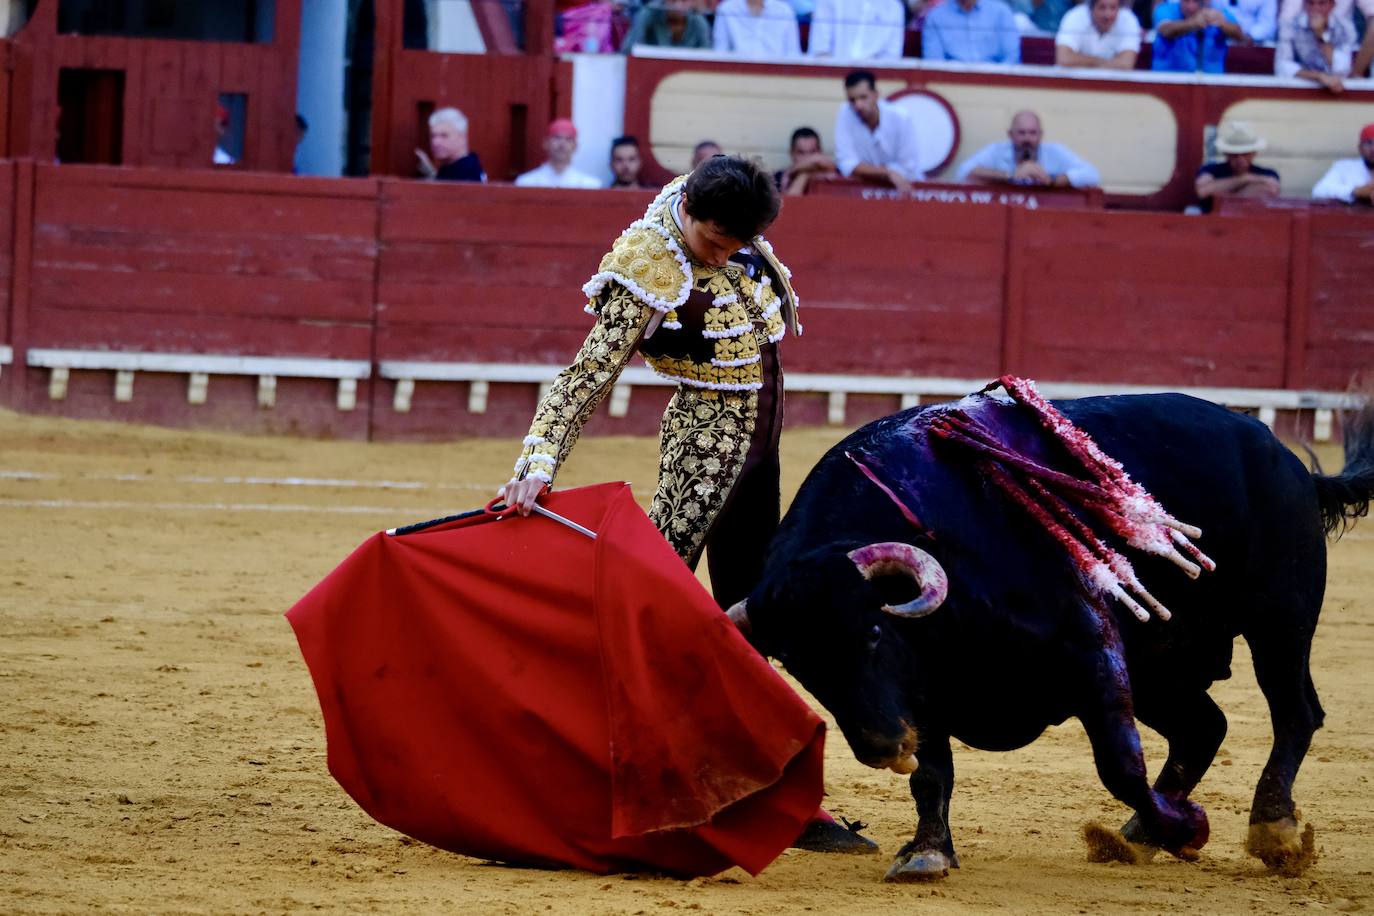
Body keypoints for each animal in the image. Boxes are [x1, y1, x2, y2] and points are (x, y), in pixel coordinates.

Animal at [730, 392, 1374, 878]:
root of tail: (1288, 462)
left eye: (871, 632)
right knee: (1203, 727)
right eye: (799, 666)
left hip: (1279, 621)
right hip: (1162, 667)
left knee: (1294, 712)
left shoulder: (1090, 648)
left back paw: (1271, 830)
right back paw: (1138, 836)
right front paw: (927, 852)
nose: (883, 748)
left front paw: (1188, 829)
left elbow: (1119, 765)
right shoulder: (924, 694)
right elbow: (933, 772)